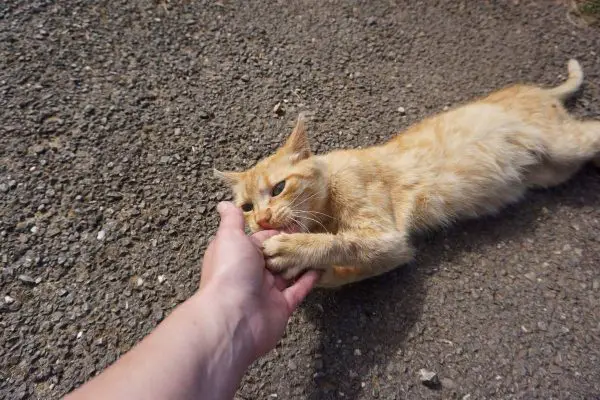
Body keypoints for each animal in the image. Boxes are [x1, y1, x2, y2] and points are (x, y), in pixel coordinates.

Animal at [216, 59, 600, 288]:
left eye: (279, 188)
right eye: (247, 208)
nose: (262, 220)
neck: (325, 211)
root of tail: (535, 89)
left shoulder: (387, 236)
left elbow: (342, 242)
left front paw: (295, 249)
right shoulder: (394, 253)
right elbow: (345, 271)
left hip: (567, 144)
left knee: (593, 128)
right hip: (554, 170)